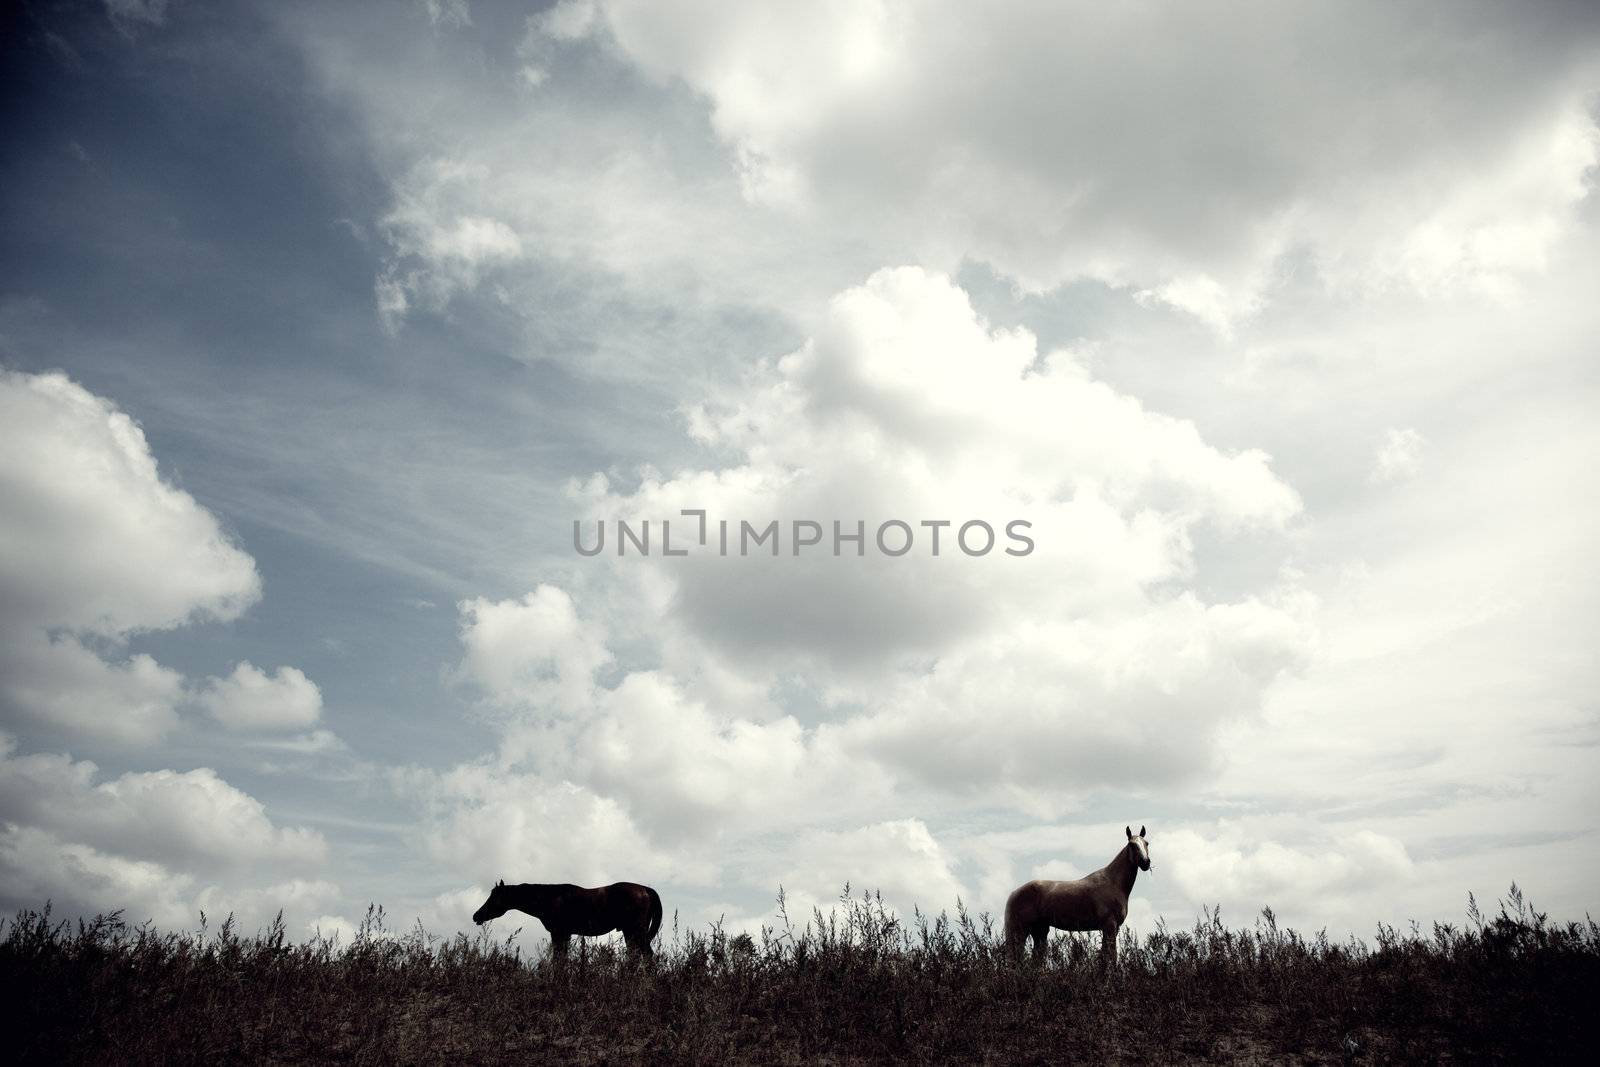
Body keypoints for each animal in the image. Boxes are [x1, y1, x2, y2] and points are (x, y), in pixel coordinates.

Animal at [467, 883, 662, 959]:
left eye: (494, 897)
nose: (476, 915)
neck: (550, 898)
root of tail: (645, 889)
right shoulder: (565, 935)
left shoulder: (559, 933)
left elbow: (558, 961)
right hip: (631, 933)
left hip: (636, 932)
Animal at [998, 825, 1152, 966]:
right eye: (1132, 845)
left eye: (1146, 843)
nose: (1146, 862)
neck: (1113, 882)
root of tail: (1014, 893)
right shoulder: (1110, 925)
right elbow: (1111, 957)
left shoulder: (1111, 928)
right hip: (1020, 932)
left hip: (1040, 931)